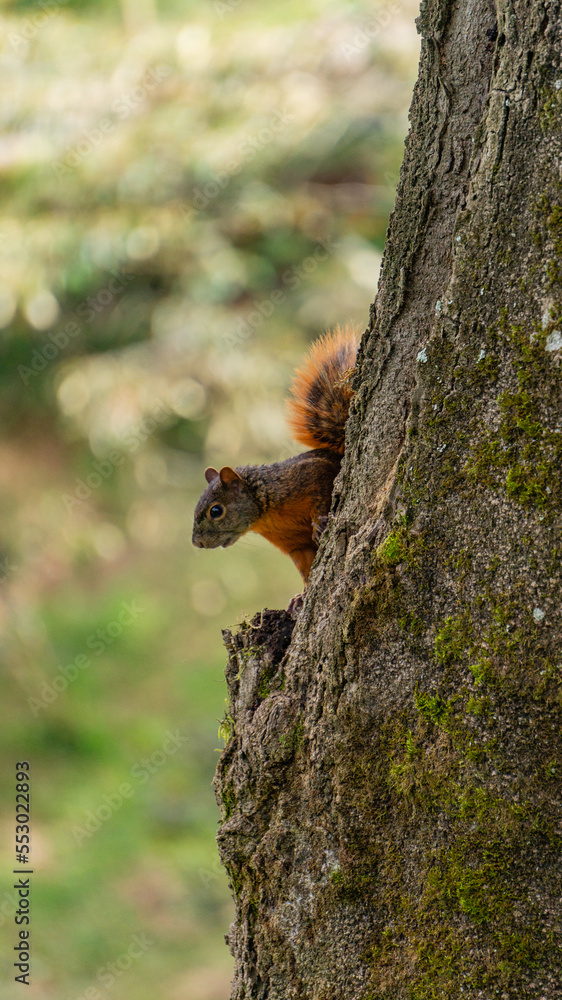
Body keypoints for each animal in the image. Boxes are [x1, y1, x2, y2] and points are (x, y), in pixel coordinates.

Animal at [192, 324, 360, 607]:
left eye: (216, 511)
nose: (197, 544)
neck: (266, 515)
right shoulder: (296, 546)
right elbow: (306, 568)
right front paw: (302, 597)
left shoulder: (310, 474)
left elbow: (322, 491)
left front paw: (320, 522)